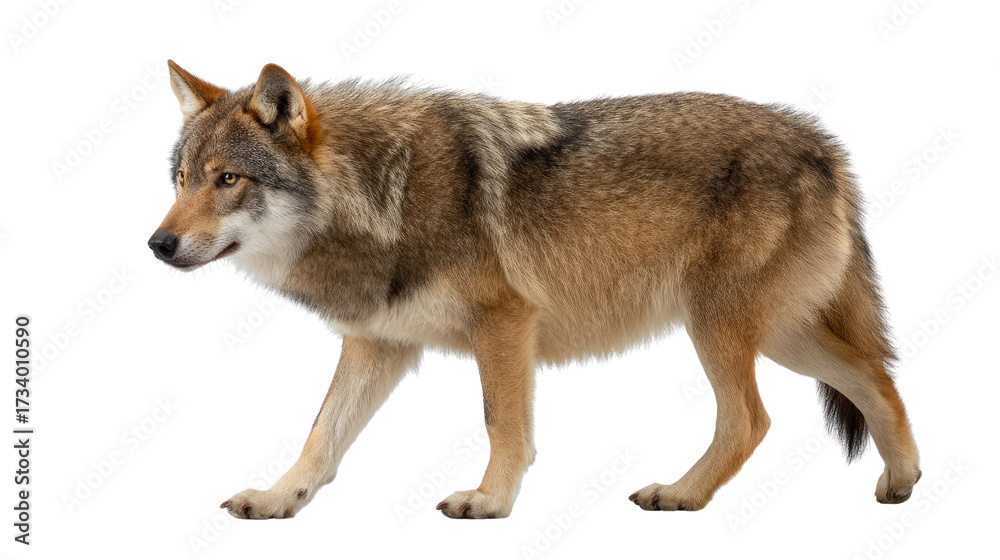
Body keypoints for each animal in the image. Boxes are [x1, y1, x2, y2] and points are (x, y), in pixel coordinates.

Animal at [149, 61, 920, 519]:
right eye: (181, 181)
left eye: (228, 179)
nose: (157, 245)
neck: (383, 195)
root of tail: (824, 145)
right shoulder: (376, 346)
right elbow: (320, 436)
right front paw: (280, 498)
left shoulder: (505, 325)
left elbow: (502, 423)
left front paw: (490, 501)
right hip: (780, 334)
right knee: (875, 375)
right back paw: (903, 480)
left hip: (720, 329)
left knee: (752, 420)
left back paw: (680, 493)